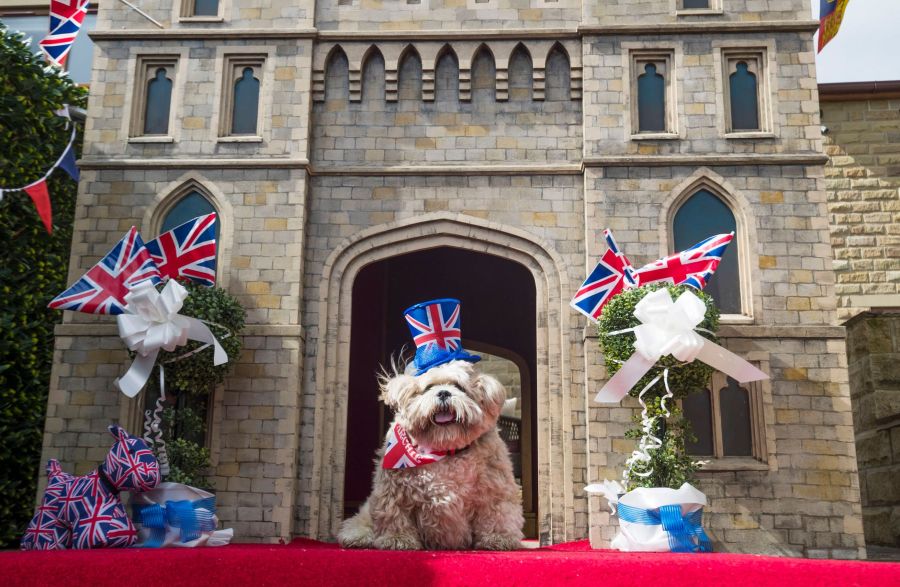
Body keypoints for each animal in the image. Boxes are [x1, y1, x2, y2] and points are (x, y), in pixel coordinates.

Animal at [336, 358, 520, 552]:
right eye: (429, 387)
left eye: (458, 386)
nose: (444, 393)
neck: (445, 449)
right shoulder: (394, 492)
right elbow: (396, 516)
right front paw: (398, 539)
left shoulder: (495, 491)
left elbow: (497, 515)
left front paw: (499, 538)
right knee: (362, 520)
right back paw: (358, 536)